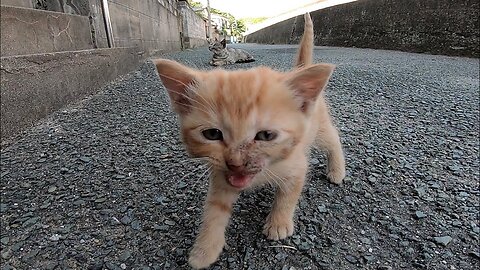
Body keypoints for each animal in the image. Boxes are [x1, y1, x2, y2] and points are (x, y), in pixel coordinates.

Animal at [154, 12, 344, 268]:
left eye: (265, 136)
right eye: (212, 134)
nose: (235, 162)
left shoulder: (296, 166)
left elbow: (288, 194)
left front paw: (279, 223)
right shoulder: (221, 177)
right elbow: (214, 211)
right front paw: (204, 250)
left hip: (319, 127)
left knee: (333, 139)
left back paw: (337, 170)